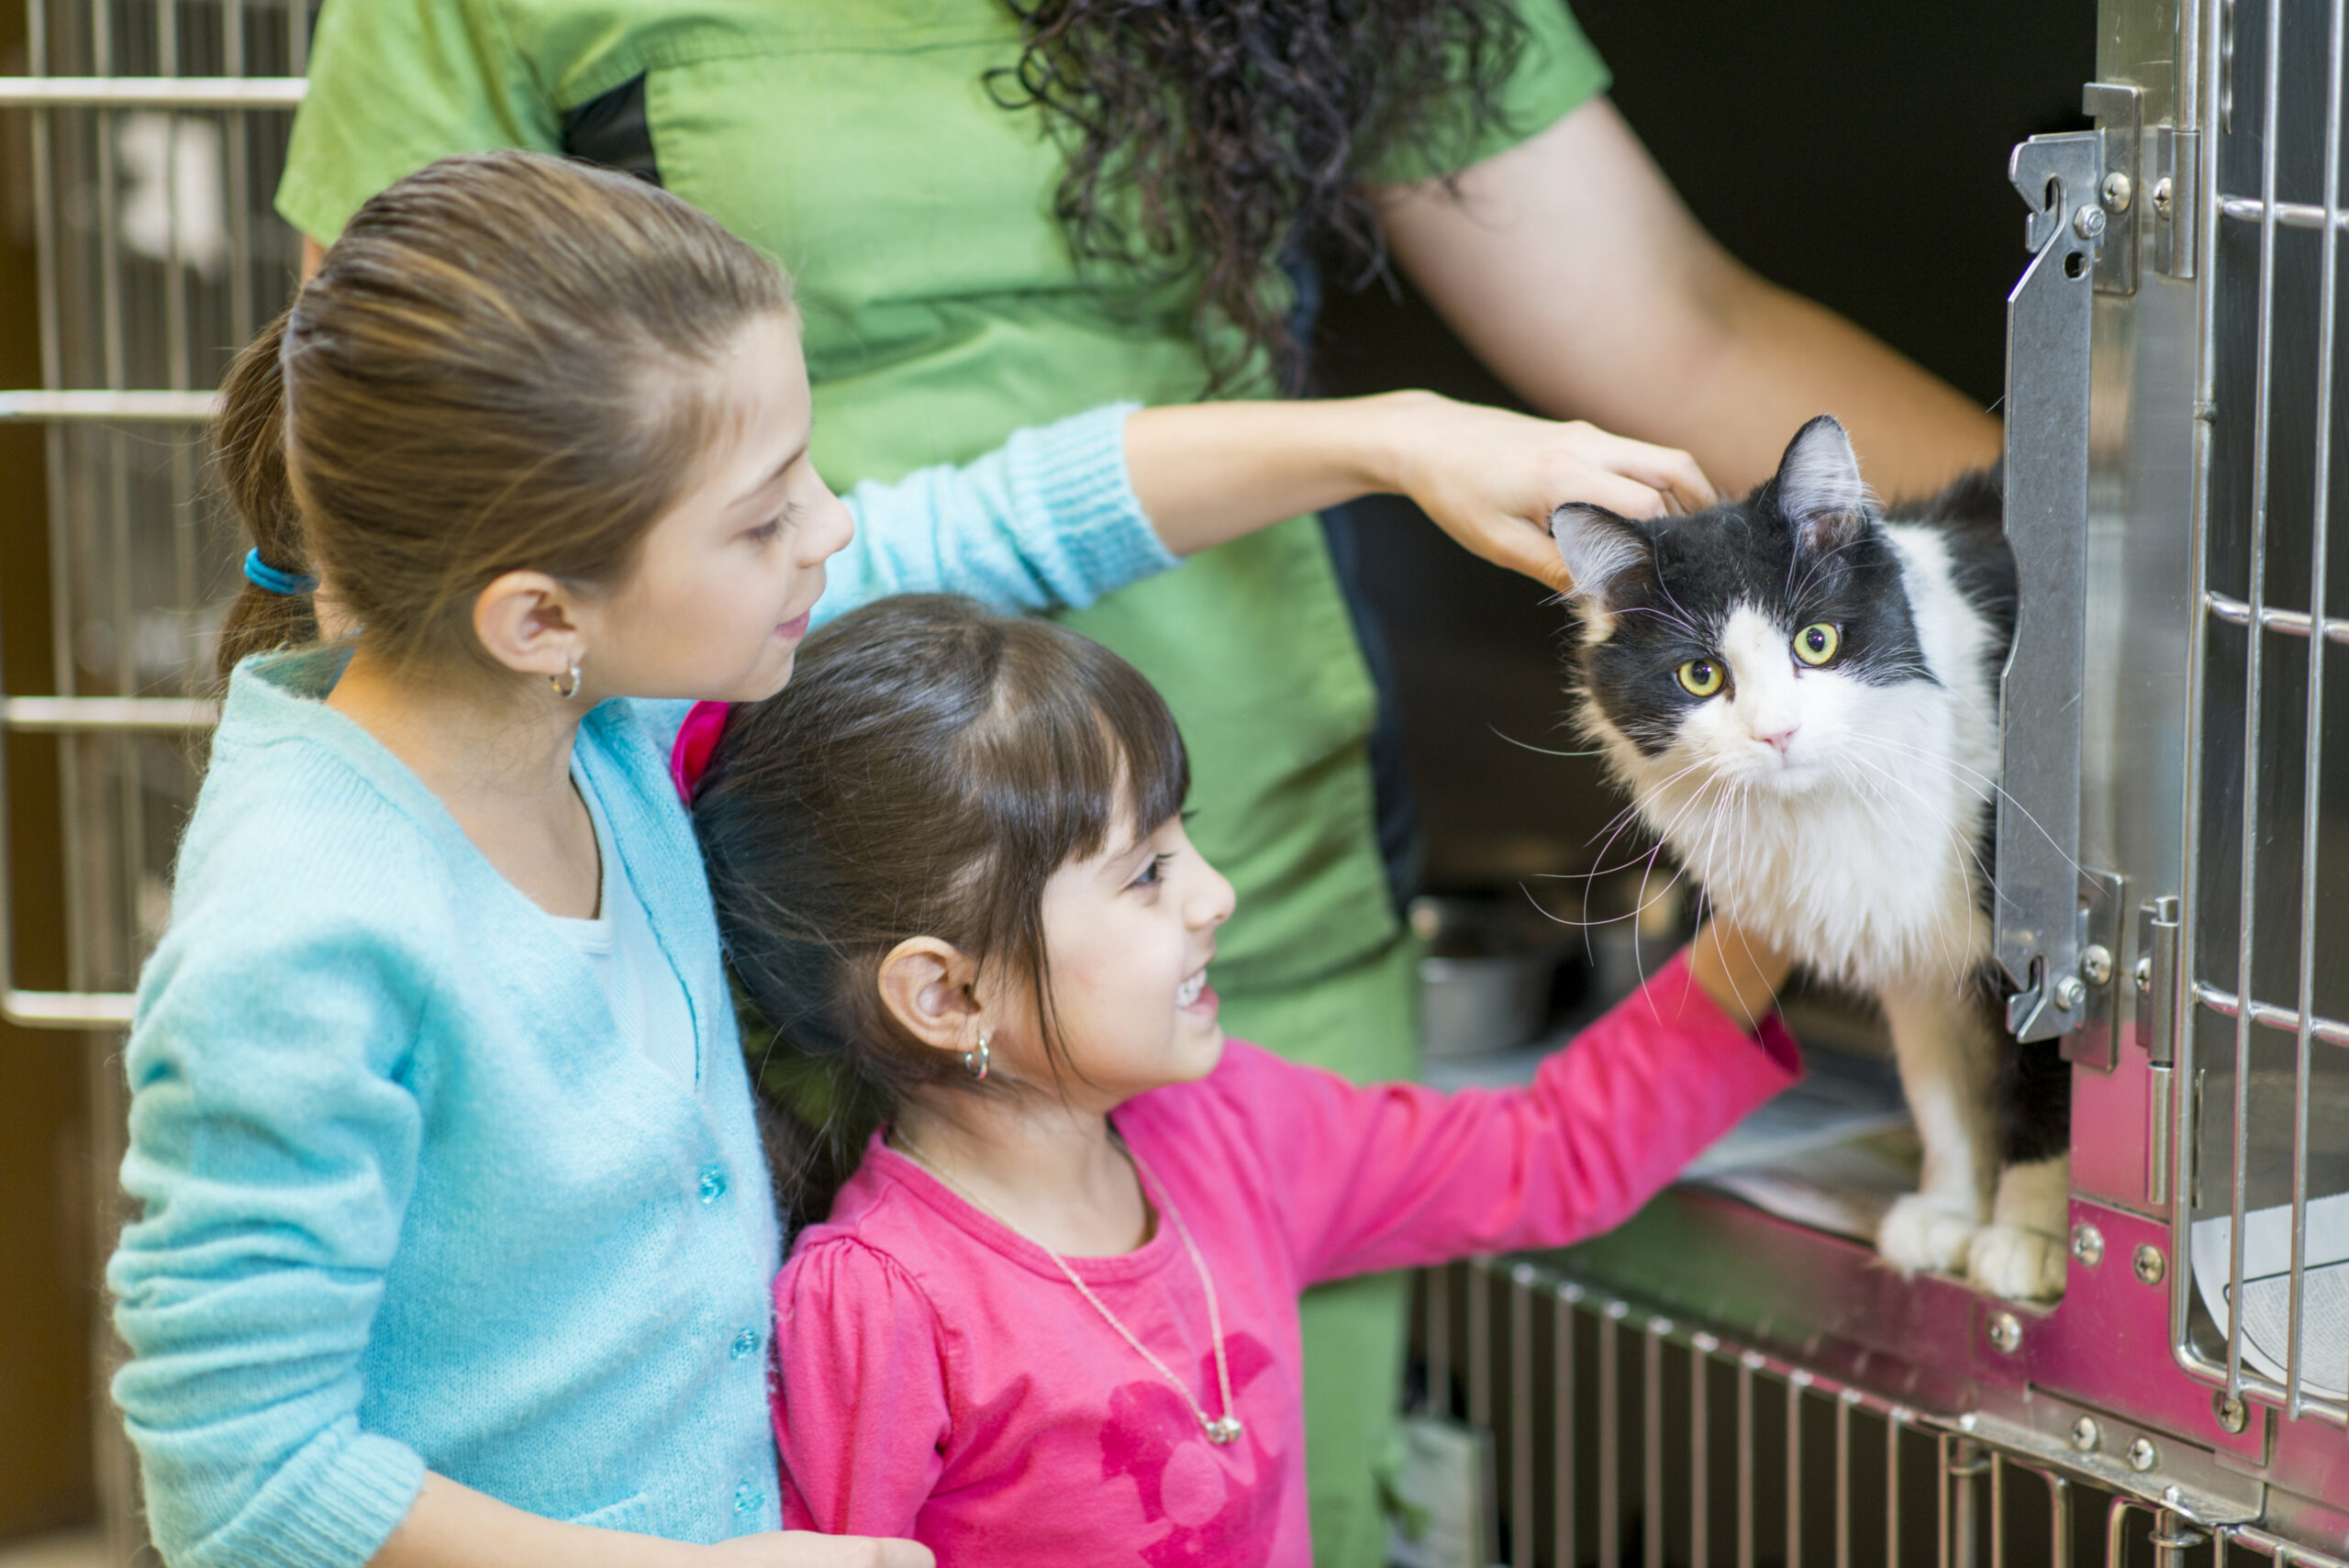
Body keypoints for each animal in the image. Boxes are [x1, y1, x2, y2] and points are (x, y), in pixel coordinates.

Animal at [1550, 415, 2066, 1296]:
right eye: (1700, 674)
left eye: (1815, 642)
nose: (1778, 733)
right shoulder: (1912, 956)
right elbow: (1944, 1097)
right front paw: (1950, 1212)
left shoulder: (2049, 948)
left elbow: (2046, 1086)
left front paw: (2031, 1236)